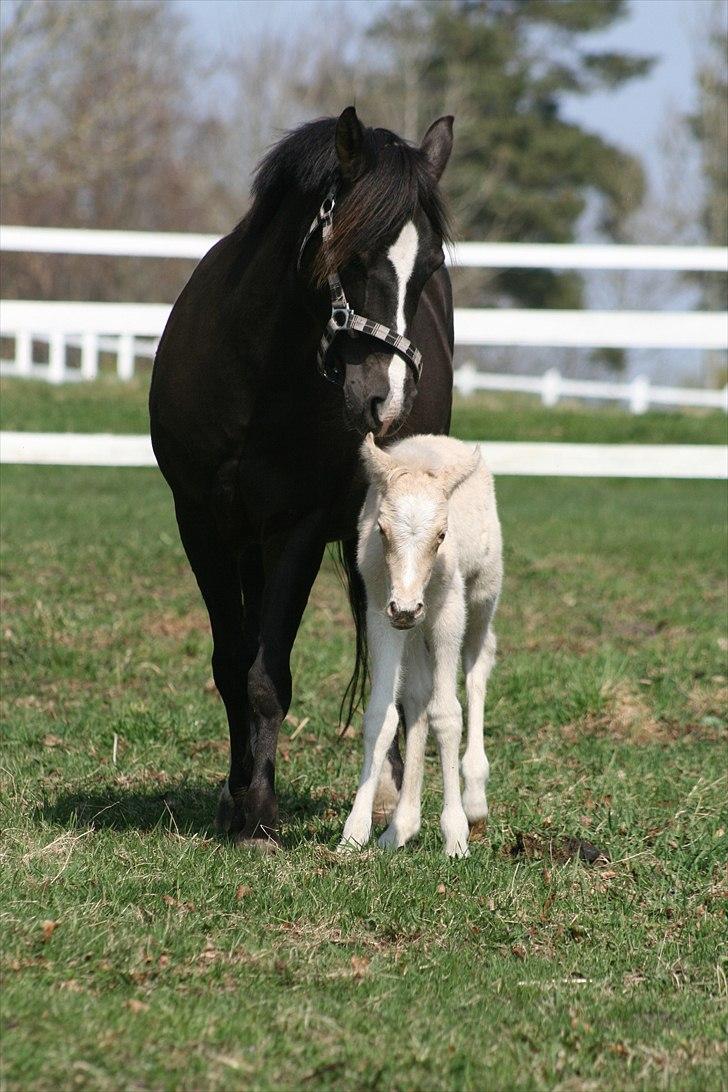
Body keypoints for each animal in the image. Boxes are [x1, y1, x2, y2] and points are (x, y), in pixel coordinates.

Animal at [149, 106, 456, 847]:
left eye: (430, 265)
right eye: (351, 256)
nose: (385, 400)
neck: (254, 373)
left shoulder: (298, 528)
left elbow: (268, 674)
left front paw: (260, 815)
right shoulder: (202, 521)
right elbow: (233, 664)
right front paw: (238, 797)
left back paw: (389, 795)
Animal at [340, 430, 502, 856]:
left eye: (442, 535)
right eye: (381, 531)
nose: (407, 607)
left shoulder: (448, 610)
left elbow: (448, 714)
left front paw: (456, 836)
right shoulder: (380, 611)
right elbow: (382, 715)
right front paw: (355, 831)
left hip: (483, 591)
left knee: (478, 662)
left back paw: (474, 796)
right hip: (411, 630)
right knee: (418, 695)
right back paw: (401, 828)